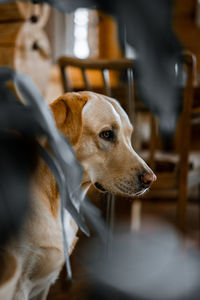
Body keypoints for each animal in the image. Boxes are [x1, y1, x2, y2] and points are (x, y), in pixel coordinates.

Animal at [0, 92, 156, 300]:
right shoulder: (19, 285)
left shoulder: (43, 284)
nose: (151, 179)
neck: (60, 199)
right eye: (107, 134)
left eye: (129, 136)